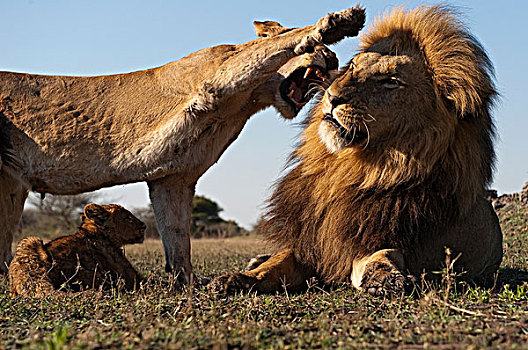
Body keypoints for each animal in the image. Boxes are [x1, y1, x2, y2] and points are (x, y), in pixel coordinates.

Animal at [0, 7, 366, 282]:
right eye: (320, 52)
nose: (333, 59)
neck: (245, 102)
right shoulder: (218, 75)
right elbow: (276, 44)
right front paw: (340, 22)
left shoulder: (173, 178)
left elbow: (177, 237)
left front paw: (188, 284)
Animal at [213, 5, 504, 296]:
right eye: (353, 66)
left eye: (390, 81)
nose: (332, 96)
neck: (347, 169)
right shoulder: (311, 243)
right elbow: (277, 261)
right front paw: (236, 278)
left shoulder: (364, 241)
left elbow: (381, 255)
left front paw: (386, 278)